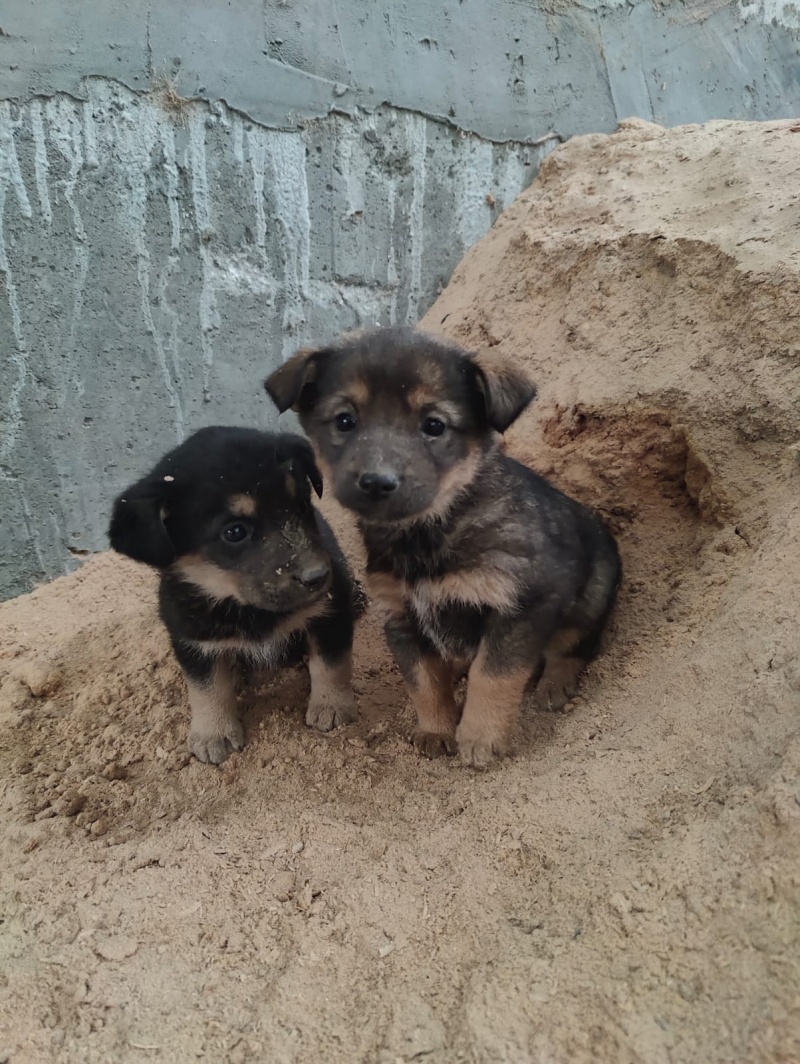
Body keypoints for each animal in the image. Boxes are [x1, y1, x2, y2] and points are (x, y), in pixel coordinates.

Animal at [109, 426, 363, 765]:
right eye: (235, 532)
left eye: (301, 506)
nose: (319, 577)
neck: (247, 608)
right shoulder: (193, 638)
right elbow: (207, 689)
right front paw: (213, 734)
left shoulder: (329, 613)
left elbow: (331, 664)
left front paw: (332, 707)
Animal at [265, 326, 621, 767]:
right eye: (345, 421)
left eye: (434, 425)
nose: (377, 482)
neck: (428, 533)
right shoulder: (401, 617)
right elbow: (424, 683)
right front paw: (436, 730)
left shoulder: (521, 605)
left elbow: (492, 677)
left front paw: (480, 739)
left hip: (593, 593)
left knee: (572, 645)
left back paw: (555, 685)